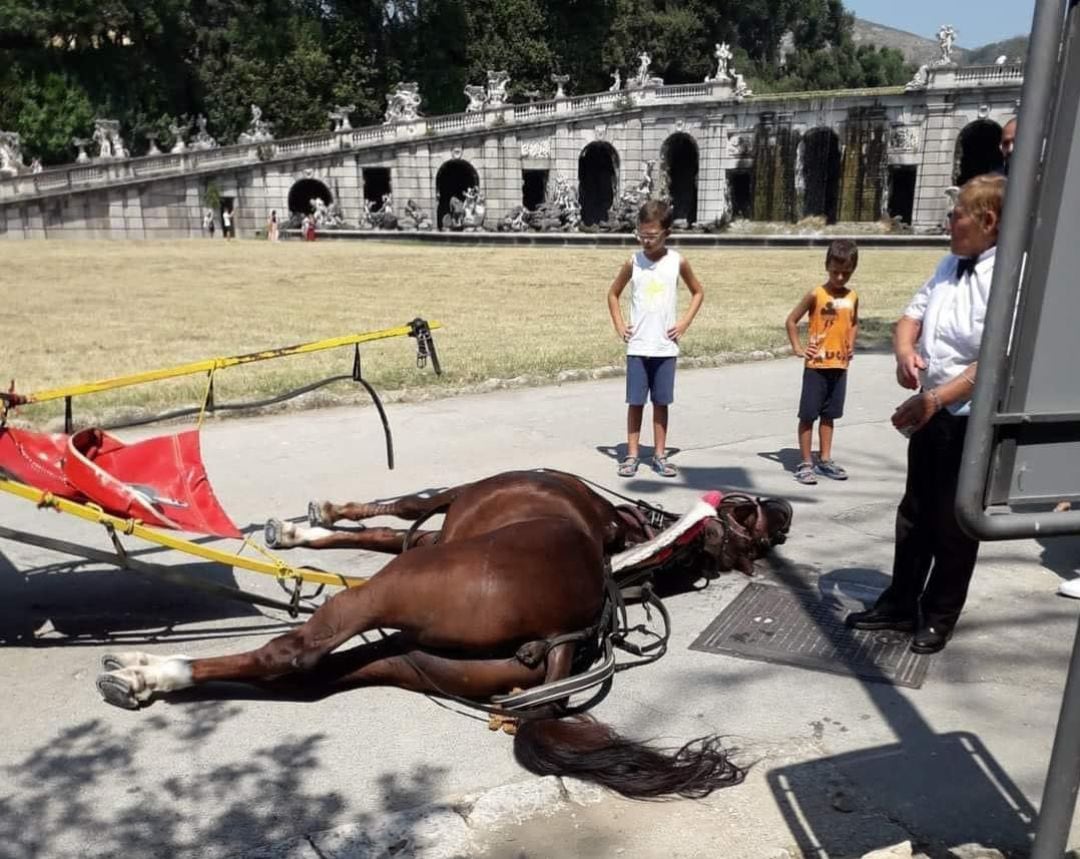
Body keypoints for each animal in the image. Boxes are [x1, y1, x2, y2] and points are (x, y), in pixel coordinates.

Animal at [97, 471, 790, 799]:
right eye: (750, 515)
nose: (784, 510)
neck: (624, 537)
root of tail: (563, 636)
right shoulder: (435, 534)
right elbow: (382, 531)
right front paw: (300, 532)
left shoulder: (446, 509)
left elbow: (400, 509)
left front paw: (311, 523)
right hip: (410, 657)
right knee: (312, 678)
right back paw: (151, 677)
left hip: (388, 593)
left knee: (293, 653)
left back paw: (151, 673)